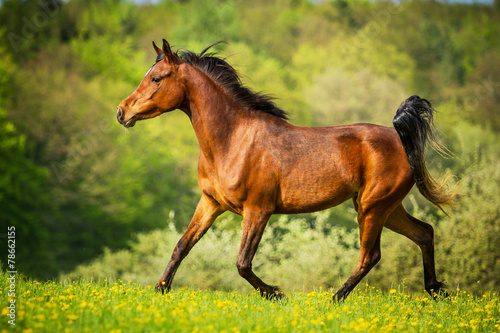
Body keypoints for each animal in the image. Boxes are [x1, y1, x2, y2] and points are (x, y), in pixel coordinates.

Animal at [116, 39, 454, 300]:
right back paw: (436, 290)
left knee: (370, 256)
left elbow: (242, 263)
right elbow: (181, 246)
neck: (233, 140)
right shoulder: (210, 203)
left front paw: (275, 294)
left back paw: (334, 299)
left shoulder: (258, 210)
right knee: (424, 233)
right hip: (387, 207)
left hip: (373, 208)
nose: (121, 112)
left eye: (157, 78)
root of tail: (399, 138)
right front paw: (160, 290)